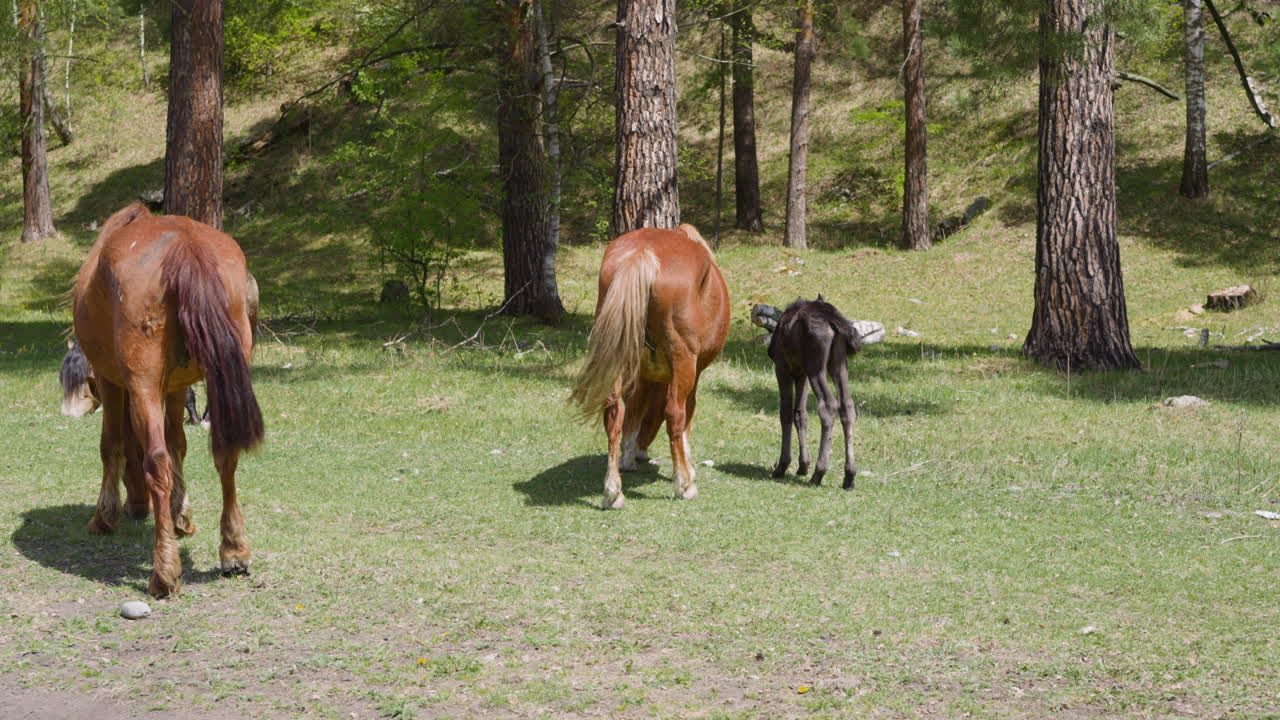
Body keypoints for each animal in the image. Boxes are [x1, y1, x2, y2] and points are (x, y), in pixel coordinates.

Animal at [72, 203, 264, 597]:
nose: (137, 507)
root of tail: (186, 247)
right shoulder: (177, 387)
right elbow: (179, 444)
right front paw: (181, 516)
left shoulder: (112, 382)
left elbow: (112, 445)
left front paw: (105, 515)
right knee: (225, 454)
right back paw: (233, 549)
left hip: (143, 386)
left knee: (156, 463)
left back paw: (163, 571)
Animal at [570, 224, 730, 509]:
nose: (642, 451)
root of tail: (642, 253)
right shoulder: (693, 373)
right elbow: (686, 416)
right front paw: (687, 468)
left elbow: (632, 412)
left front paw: (627, 457)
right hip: (683, 361)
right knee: (674, 414)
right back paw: (684, 485)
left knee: (614, 413)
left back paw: (613, 491)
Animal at [768, 296, 862, 489]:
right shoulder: (800, 372)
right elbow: (800, 414)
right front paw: (803, 465)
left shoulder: (783, 367)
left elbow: (785, 413)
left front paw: (783, 465)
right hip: (839, 364)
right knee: (847, 406)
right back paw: (849, 475)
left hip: (815, 366)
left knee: (828, 405)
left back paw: (819, 472)